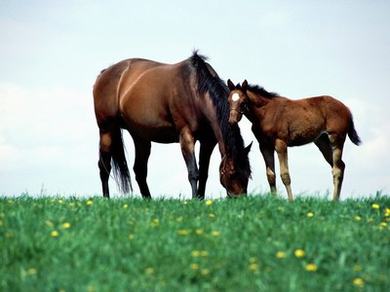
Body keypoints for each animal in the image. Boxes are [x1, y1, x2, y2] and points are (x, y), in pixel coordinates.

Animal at [92, 52, 250, 198]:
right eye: (232, 172)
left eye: (248, 173)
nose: (240, 199)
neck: (195, 90)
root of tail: (104, 73)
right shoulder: (186, 136)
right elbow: (194, 172)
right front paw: (194, 199)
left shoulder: (208, 141)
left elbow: (204, 173)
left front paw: (200, 199)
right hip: (107, 130)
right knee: (104, 166)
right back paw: (106, 199)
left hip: (140, 137)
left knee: (139, 170)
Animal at [227, 78, 362, 201]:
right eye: (228, 101)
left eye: (243, 101)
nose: (232, 120)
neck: (265, 114)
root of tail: (346, 109)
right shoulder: (264, 146)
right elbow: (270, 175)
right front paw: (274, 201)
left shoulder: (280, 143)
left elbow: (285, 175)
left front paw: (291, 201)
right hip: (322, 142)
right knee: (340, 166)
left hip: (336, 138)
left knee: (337, 168)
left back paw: (334, 201)